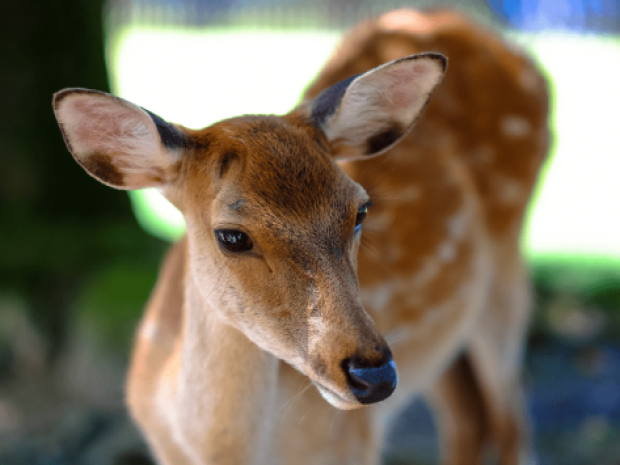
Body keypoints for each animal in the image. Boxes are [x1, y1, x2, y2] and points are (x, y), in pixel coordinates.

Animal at [52, 7, 548, 464]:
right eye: (231, 236)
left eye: (360, 210)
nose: (374, 376)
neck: (216, 450)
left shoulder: (352, 444)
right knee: (470, 418)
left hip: (508, 269)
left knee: (511, 422)